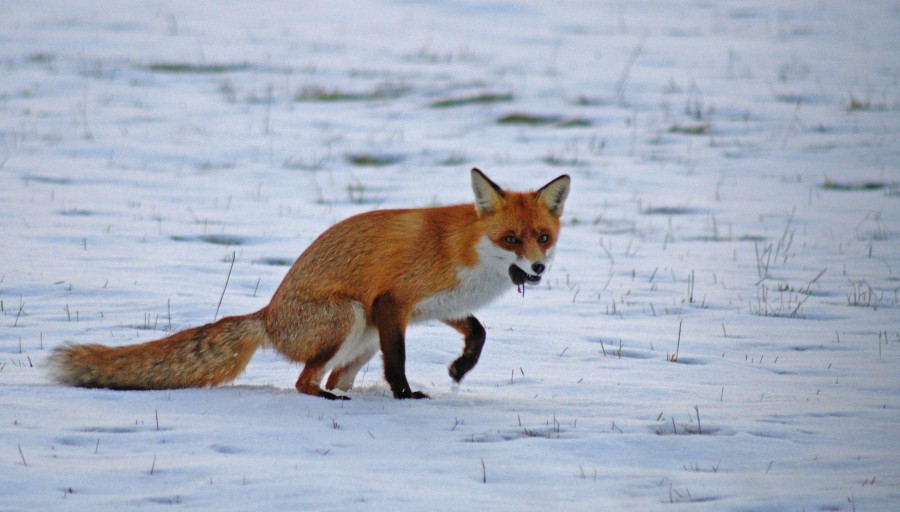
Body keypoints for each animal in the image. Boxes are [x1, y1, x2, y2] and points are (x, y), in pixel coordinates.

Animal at [51, 169, 568, 400]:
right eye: (510, 238)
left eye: (543, 237)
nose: (538, 269)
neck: (464, 251)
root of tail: (267, 316)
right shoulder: (392, 301)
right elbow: (398, 361)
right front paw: (405, 396)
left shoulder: (436, 306)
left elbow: (479, 330)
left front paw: (461, 369)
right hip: (352, 316)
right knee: (303, 382)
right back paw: (328, 398)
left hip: (362, 338)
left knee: (330, 377)